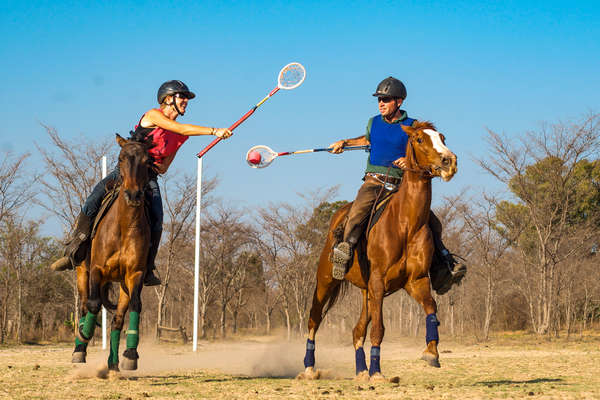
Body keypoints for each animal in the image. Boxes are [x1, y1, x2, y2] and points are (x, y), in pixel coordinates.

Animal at [72, 135, 152, 372]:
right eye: (121, 158)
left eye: (147, 161)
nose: (133, 194)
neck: (124, 226)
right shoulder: (96, 270)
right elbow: (93, 304)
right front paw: (85, 334)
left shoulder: (135, 274)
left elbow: (135, 306)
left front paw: (131, 354)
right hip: (82, 273)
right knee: (84, 305)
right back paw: (79, 348)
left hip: (123, 284)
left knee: (117, 319)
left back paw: (113, 362)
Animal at [300, 121, 460, 382]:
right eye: (419, 139)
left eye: (442, 137)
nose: (449, 161)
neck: (404, 223)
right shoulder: (378, 281)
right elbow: (379, 328)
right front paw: (377, 372)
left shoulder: (415, 281)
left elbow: (431, 309)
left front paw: (431, 352)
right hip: (326, 280)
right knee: (314, 319)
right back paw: (310, 368)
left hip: (367, 293)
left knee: (356, 330)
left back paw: (361, 371)